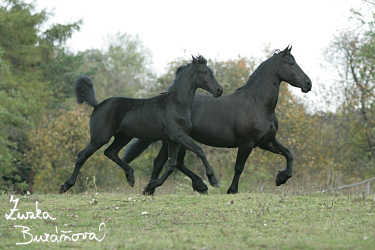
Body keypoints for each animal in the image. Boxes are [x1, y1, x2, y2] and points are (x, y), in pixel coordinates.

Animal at [59, 56, 223, 193]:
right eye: (204, 72)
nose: (219, 90)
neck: (176, 104)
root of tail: (97, 105)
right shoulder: (178, 135)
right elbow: (200, 151)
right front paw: (213, 180)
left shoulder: (173, 140)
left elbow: (172, 165)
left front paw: (150, 186)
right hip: (99, 138)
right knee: (82, 156)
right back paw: (65, 186)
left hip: (123, 137)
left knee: (110, 152)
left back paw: (130, 177)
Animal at [122, 46, 312, 194]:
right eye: (291, 63)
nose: (308, 84)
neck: (258, 104)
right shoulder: (247, 143)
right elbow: (239, 167)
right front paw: (232, 190)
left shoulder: (267, 142)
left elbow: (289, 153)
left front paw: (281, 178)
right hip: (175, 139)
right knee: (167, 162)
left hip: (174, 141)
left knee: (168, 163)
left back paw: (155, 189)